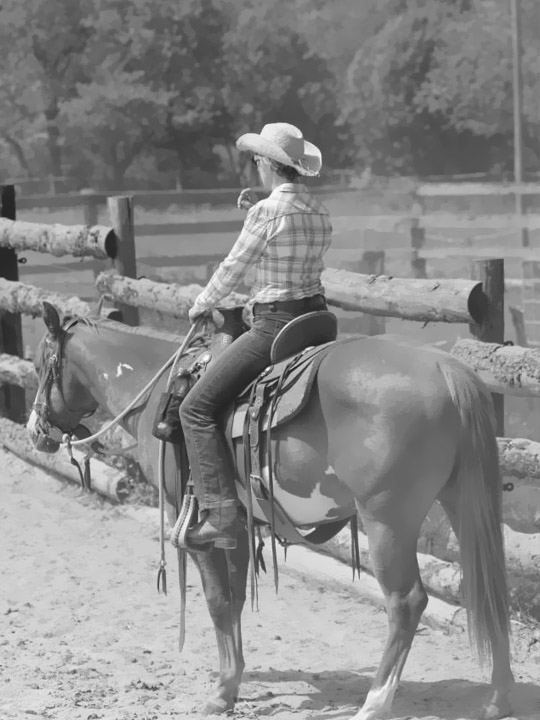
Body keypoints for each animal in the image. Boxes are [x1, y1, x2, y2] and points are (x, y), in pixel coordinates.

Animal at [26, 302, 516, 720]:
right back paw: (497, 698)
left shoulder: (194, 525)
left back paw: (374, 704)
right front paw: (234, 679)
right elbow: (237, 599)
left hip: (387, 520)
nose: (35, 431)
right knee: (489, 589)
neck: (158, 392)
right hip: (461, 501)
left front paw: (221, 693)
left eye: (37, 365)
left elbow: (218, 601)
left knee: (406, 601)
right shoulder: (239, 525)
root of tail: (447, 370)